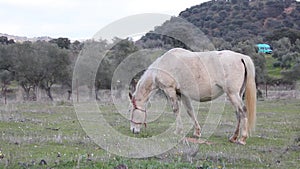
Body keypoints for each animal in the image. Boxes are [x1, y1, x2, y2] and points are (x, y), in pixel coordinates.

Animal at [127, 47, 256, 145]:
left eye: (131, 110)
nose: (133, 130)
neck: (161, 67)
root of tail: (241, 57)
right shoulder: (183, 94)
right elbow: (190, 111)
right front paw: (197, 132)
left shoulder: (170, 90)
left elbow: (176, 110)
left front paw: (178, 131)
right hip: (236, 94)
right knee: (238, 113)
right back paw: (233, 137)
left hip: (232, 94)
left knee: (243, 111)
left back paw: (242, 139)